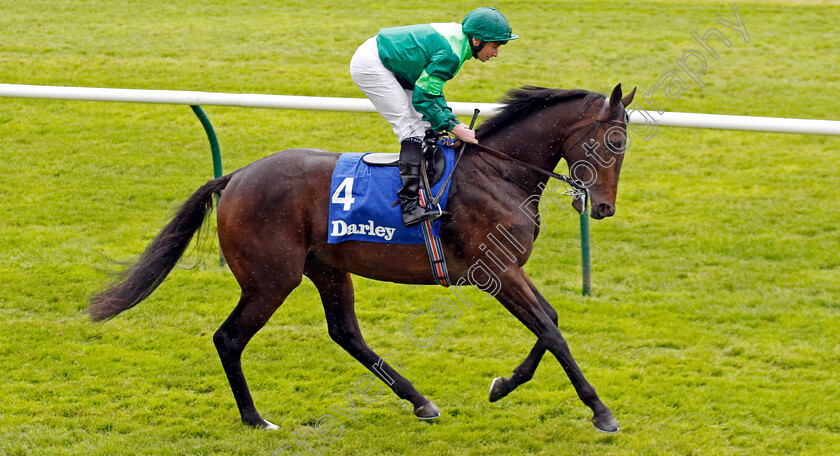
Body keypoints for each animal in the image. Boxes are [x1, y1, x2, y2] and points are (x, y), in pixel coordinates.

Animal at [87, 83, 636, 432]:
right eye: (615, 140)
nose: (604, 208)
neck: (499, 173)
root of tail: (237, 176)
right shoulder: (496, 272)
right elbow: (552, 332)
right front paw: (601, 412)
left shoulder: (509, 270)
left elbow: (552, 321)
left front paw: (502, 384)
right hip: (271, 279)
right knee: (229, 338)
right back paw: (255, 418)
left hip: (327, 269)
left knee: (345, 333)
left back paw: (420, 402)